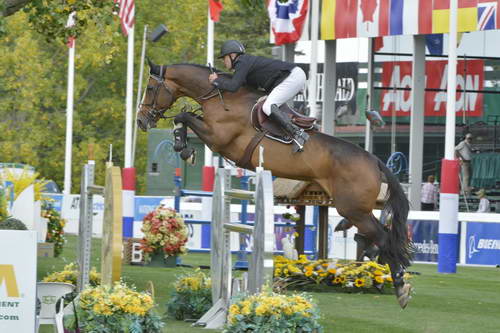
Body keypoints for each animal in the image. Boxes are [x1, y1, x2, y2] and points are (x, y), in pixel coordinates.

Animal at [138, 59, 414, 306]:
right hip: (356, 209)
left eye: (150, 88)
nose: (141, 121)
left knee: (384, 238)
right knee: (377, 237)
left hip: (353, 208)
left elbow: (183, 115)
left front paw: (182, 147)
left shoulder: (218, 138)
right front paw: (183, 146)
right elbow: (184, 116)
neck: (218, 97)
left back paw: (400, 286)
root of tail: (375, 161)